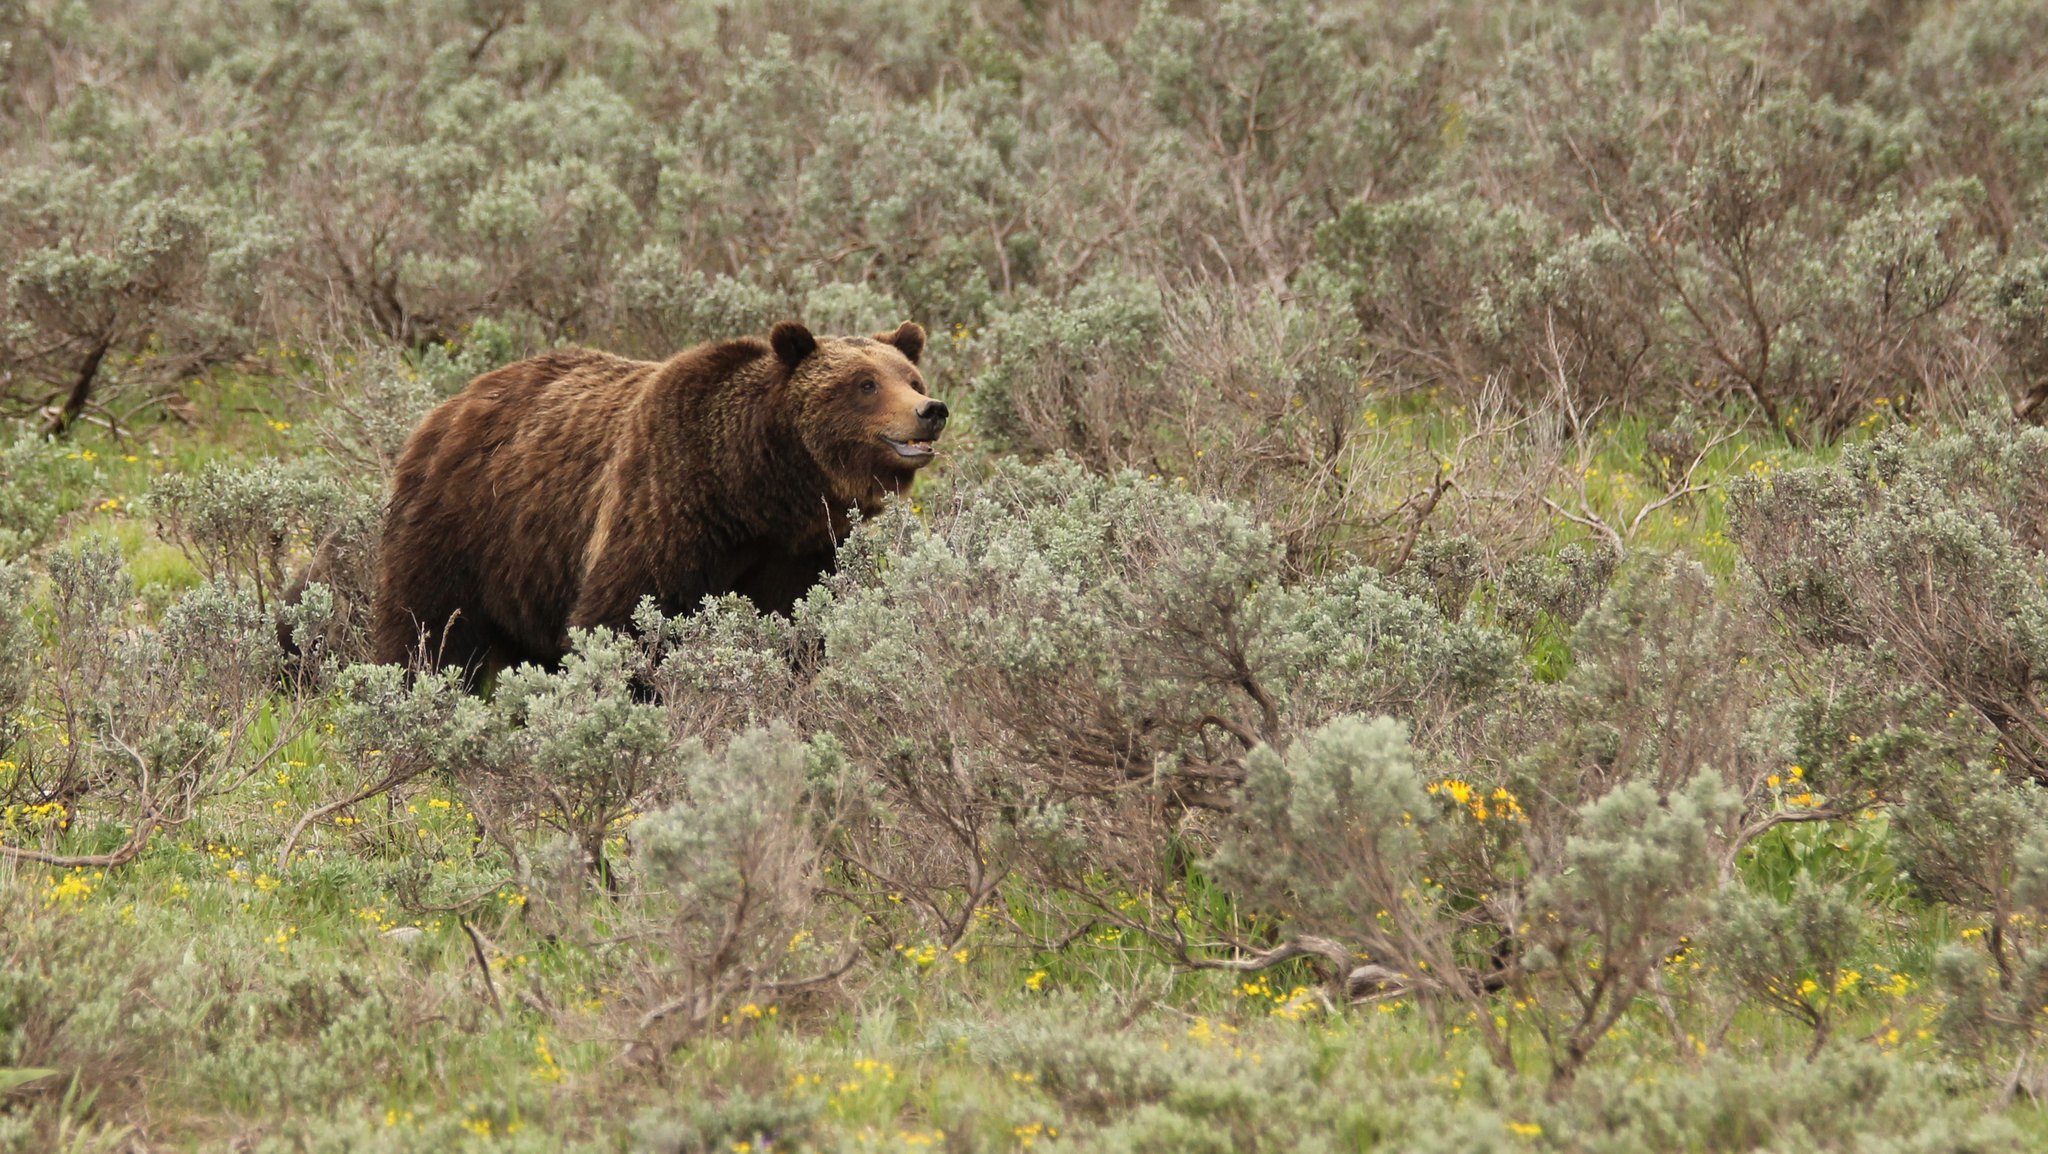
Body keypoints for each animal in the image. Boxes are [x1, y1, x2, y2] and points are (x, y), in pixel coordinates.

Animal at [370, 319, 942, 672]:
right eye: (865, 384)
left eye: (911, 378)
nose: (931, 410)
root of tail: (449, 406)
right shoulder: (662, 508)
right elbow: (622, 621)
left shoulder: (802, 552)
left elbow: (799, 624)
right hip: (463, 528)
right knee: (429, 629)